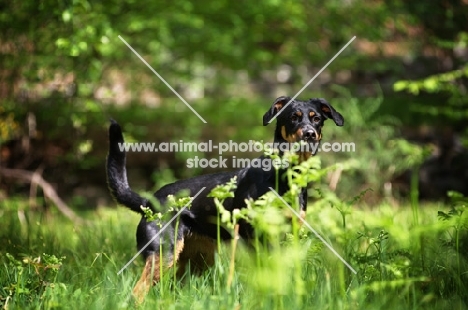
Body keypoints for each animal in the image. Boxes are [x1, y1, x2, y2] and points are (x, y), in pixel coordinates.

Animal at [107, 96, 344, 300]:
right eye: (294, 117)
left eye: (316, 119)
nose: (309, 134)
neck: (287, 175)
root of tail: (149, 203)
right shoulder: (256, 238)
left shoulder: (289, 235)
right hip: (163, 252)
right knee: (138, 292)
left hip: (197, 259)